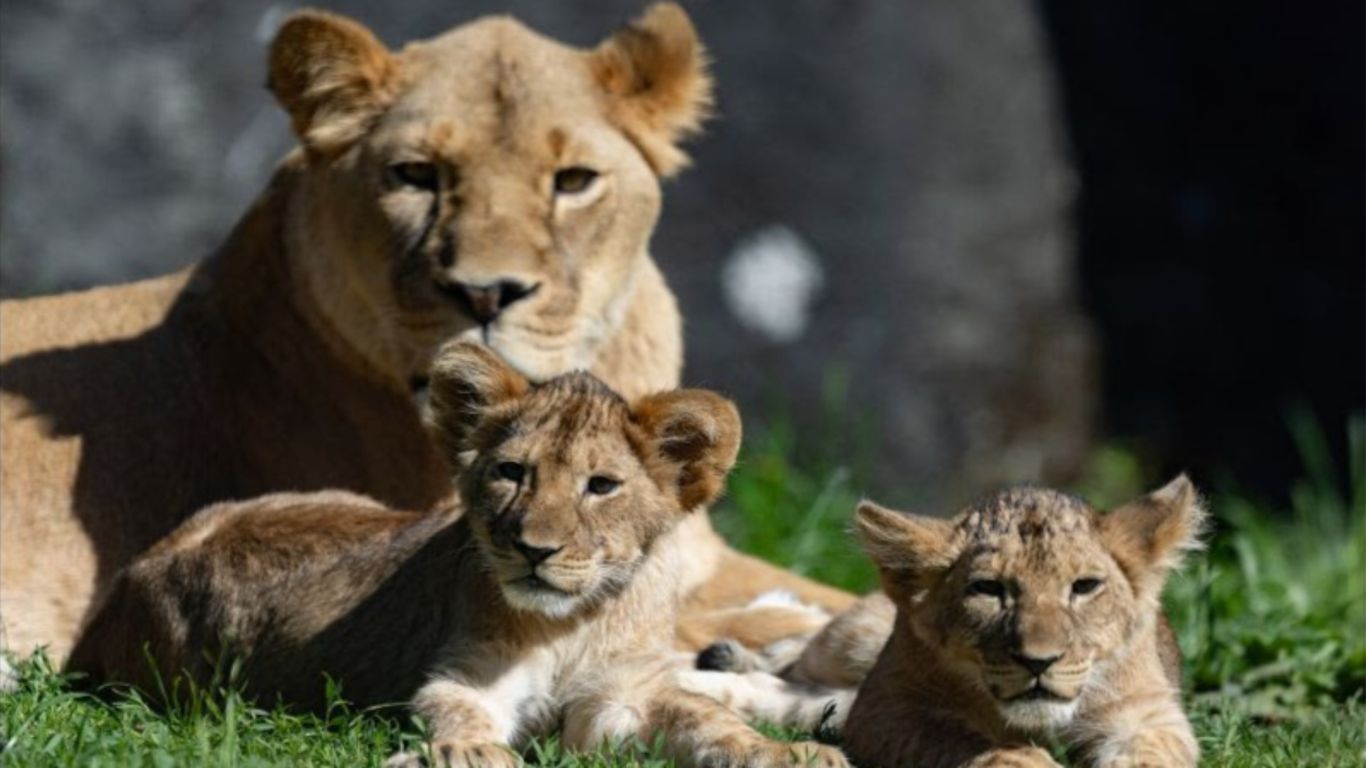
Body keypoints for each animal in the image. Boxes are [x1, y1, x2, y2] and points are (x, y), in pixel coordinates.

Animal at [68, 342, 849, 767]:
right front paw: (471, 751)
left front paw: (790, 751)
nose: (534, 549)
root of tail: (134, 576)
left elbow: (705, 719)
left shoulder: (623, 695)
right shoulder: (466, 675)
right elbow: (459, 712)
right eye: (511, 473)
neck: (572, 623)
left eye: (600, 486)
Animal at [697, 479, 1205, 767]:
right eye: (989, 589)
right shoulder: (886, 709)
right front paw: (1021, 759)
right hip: (853, 641)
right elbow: (961, 739)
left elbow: (1151, 754)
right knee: (793, 665)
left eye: (1084, 587)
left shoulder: (1148, 715)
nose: (1039, 662)